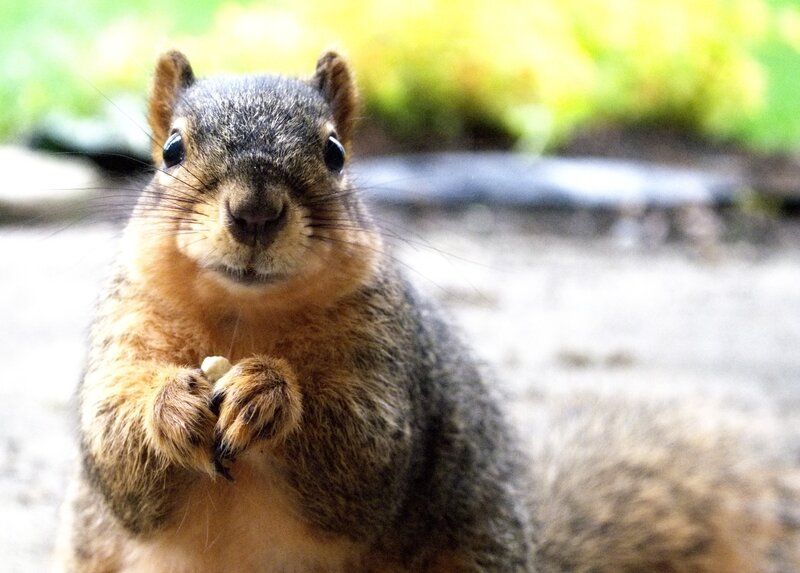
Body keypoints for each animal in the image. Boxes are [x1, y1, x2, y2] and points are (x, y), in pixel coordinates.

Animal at [55, 50, 799, 572]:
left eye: (335, 152)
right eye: (172, 150)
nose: (255, 213)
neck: (244, 318)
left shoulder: (390, 366)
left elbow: (368, 457)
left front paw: (268, 392)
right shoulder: (124, 334)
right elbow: (118, 459)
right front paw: (171, 406)